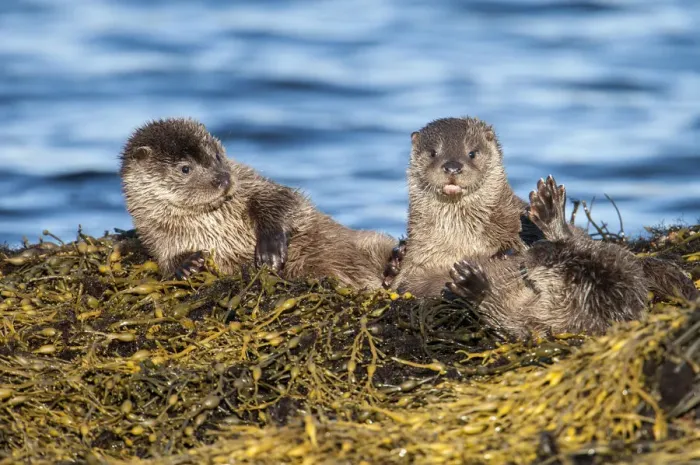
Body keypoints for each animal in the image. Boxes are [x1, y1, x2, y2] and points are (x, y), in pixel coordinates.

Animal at [119, 117, 397, 289]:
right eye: (185, 168)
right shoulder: (154, 232)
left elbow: (283, 200)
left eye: (216, 155)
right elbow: (163, 257)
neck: (213, 222)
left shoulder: (252, 183)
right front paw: (185, 265)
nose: (223, 178)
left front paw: (270, 248)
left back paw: (394, 263)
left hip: (366, 241)